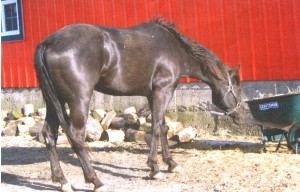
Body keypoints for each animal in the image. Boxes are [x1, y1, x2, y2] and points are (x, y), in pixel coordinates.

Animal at [34, 17, 245, 190]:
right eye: (237, 88)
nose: (241, 117)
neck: (175, 49)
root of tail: (48, 43)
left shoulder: (153, 95)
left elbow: (163, 127)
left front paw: (171, 164)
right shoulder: (163, 91)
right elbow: (157, 129)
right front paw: (155, 169)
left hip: (54, 101)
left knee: (49, 135)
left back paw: (62, 181)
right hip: (78, 101)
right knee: (77, 137)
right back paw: (96, 181)